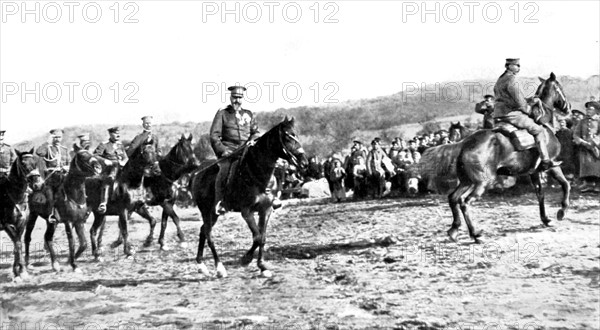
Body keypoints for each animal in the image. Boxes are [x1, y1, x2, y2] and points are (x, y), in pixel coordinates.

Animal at [0, 150, 36, 282]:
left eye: (35, 162)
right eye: (23, 164)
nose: (37, 182)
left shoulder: (21, 223)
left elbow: (17, 243)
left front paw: (19, 271)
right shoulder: (6, 225)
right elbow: (17, 244)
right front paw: (20, 271)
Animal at [190, 116, 308, 278]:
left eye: (295, 134)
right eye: (286, 136)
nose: (304, 162)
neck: (255, 174)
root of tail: (197, 172)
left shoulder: (266, 210)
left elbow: (262, 237)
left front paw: (262, 265)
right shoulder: (247, 212)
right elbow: (257, 237)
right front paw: (246, 259)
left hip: (213, 214)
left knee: (203, 231)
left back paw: (201, 265)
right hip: (206, 211)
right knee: (209, 234)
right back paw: (219, 268)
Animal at [450, 73, 572, 244]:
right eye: (559, 87)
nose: (568, 107)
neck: (544, 123)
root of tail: (465, 145)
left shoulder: (534, 172)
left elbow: (540, 194)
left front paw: (546, 219)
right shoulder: (553, 165)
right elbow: (566, 184)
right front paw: (562, 211)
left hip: (466, 181)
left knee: (453, 198)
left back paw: (454, 229)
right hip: (483, 182)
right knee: (465, 202)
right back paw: (475, 234)